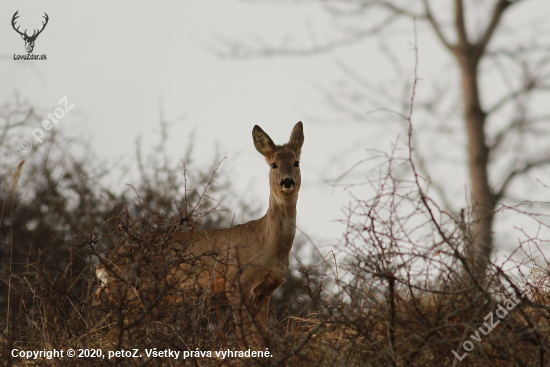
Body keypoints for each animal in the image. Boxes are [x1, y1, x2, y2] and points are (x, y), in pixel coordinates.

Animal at [97, 123, 306, 342]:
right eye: (273, 164)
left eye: (296, 162)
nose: (287, 181)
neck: (268, 245)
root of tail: (104, 264)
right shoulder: (237, 283)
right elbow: (246, 338)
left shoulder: (266, 291)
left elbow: (265, 336)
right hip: (131, 293)